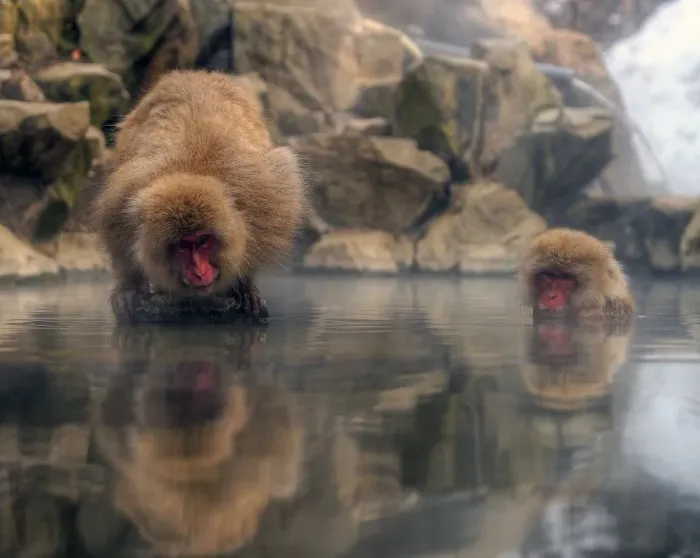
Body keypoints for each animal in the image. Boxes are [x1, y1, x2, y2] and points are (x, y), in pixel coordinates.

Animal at [92, 69, 307, 323]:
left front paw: (244, 286)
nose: (199, 271)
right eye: (183, 246)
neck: (191, 173)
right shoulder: (121, 201)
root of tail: (195, 73)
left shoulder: (265, 195)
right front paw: (129, 287)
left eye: (204, 241)